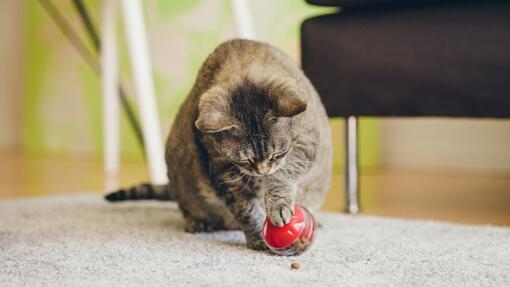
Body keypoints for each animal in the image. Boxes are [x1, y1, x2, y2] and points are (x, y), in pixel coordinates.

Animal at [105, 39, 332, 251]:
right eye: (245, 160)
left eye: (277, 154)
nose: (262, 171)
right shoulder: (223, 172)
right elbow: (247, 210)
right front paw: (258, 237)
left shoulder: (306, 141)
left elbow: (284, 174)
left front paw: (279, 205)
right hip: (181, 181)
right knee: (186, 207)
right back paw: (196, 222)